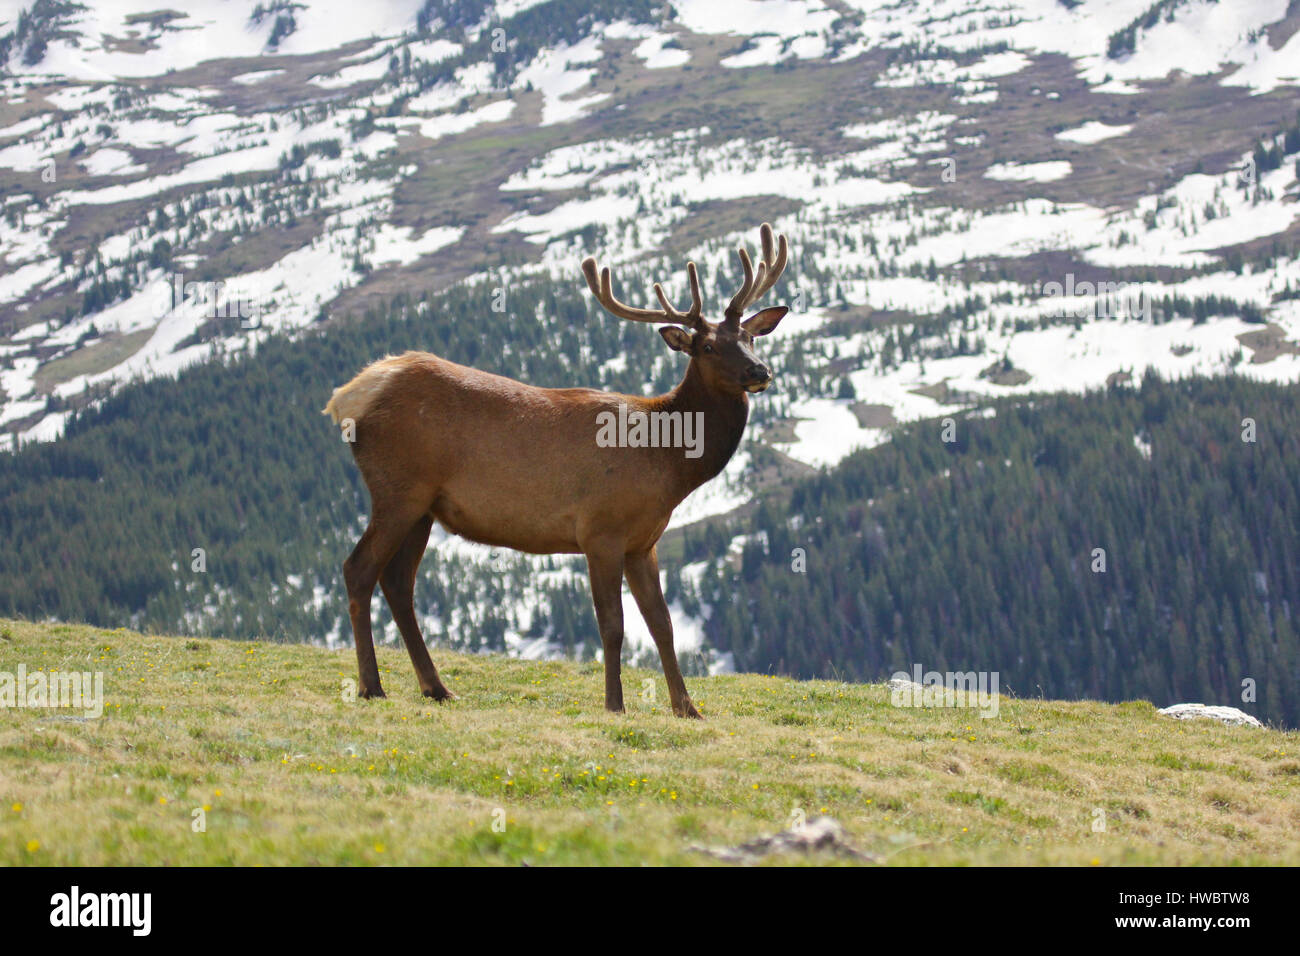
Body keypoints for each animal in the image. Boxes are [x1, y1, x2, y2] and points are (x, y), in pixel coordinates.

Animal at [323, 223, 790, 718]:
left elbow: (661, 624)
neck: (667, 463)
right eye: (707, 346)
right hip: (397, 490)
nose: (760, 370)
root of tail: (348, 396)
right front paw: (614, 704)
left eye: (750, 337)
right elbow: (613, 625)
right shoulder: (600, 531)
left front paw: (687, 707)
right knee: (358, 569)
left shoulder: (643, 542)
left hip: (424, 506)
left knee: (397, 582)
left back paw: (436, 687)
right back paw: (371, 686)